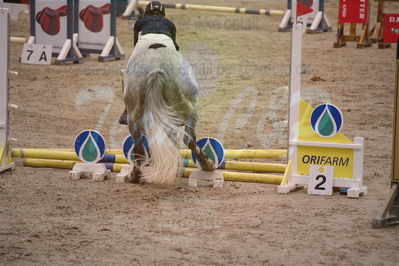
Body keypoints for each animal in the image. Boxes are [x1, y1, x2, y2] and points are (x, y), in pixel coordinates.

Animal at [122, 47, 216, 185]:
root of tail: (156, 69)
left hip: (134, 117)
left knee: (140, 150)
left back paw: (134, 176)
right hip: (190, 110)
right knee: (189, 140)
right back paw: (208, 164)